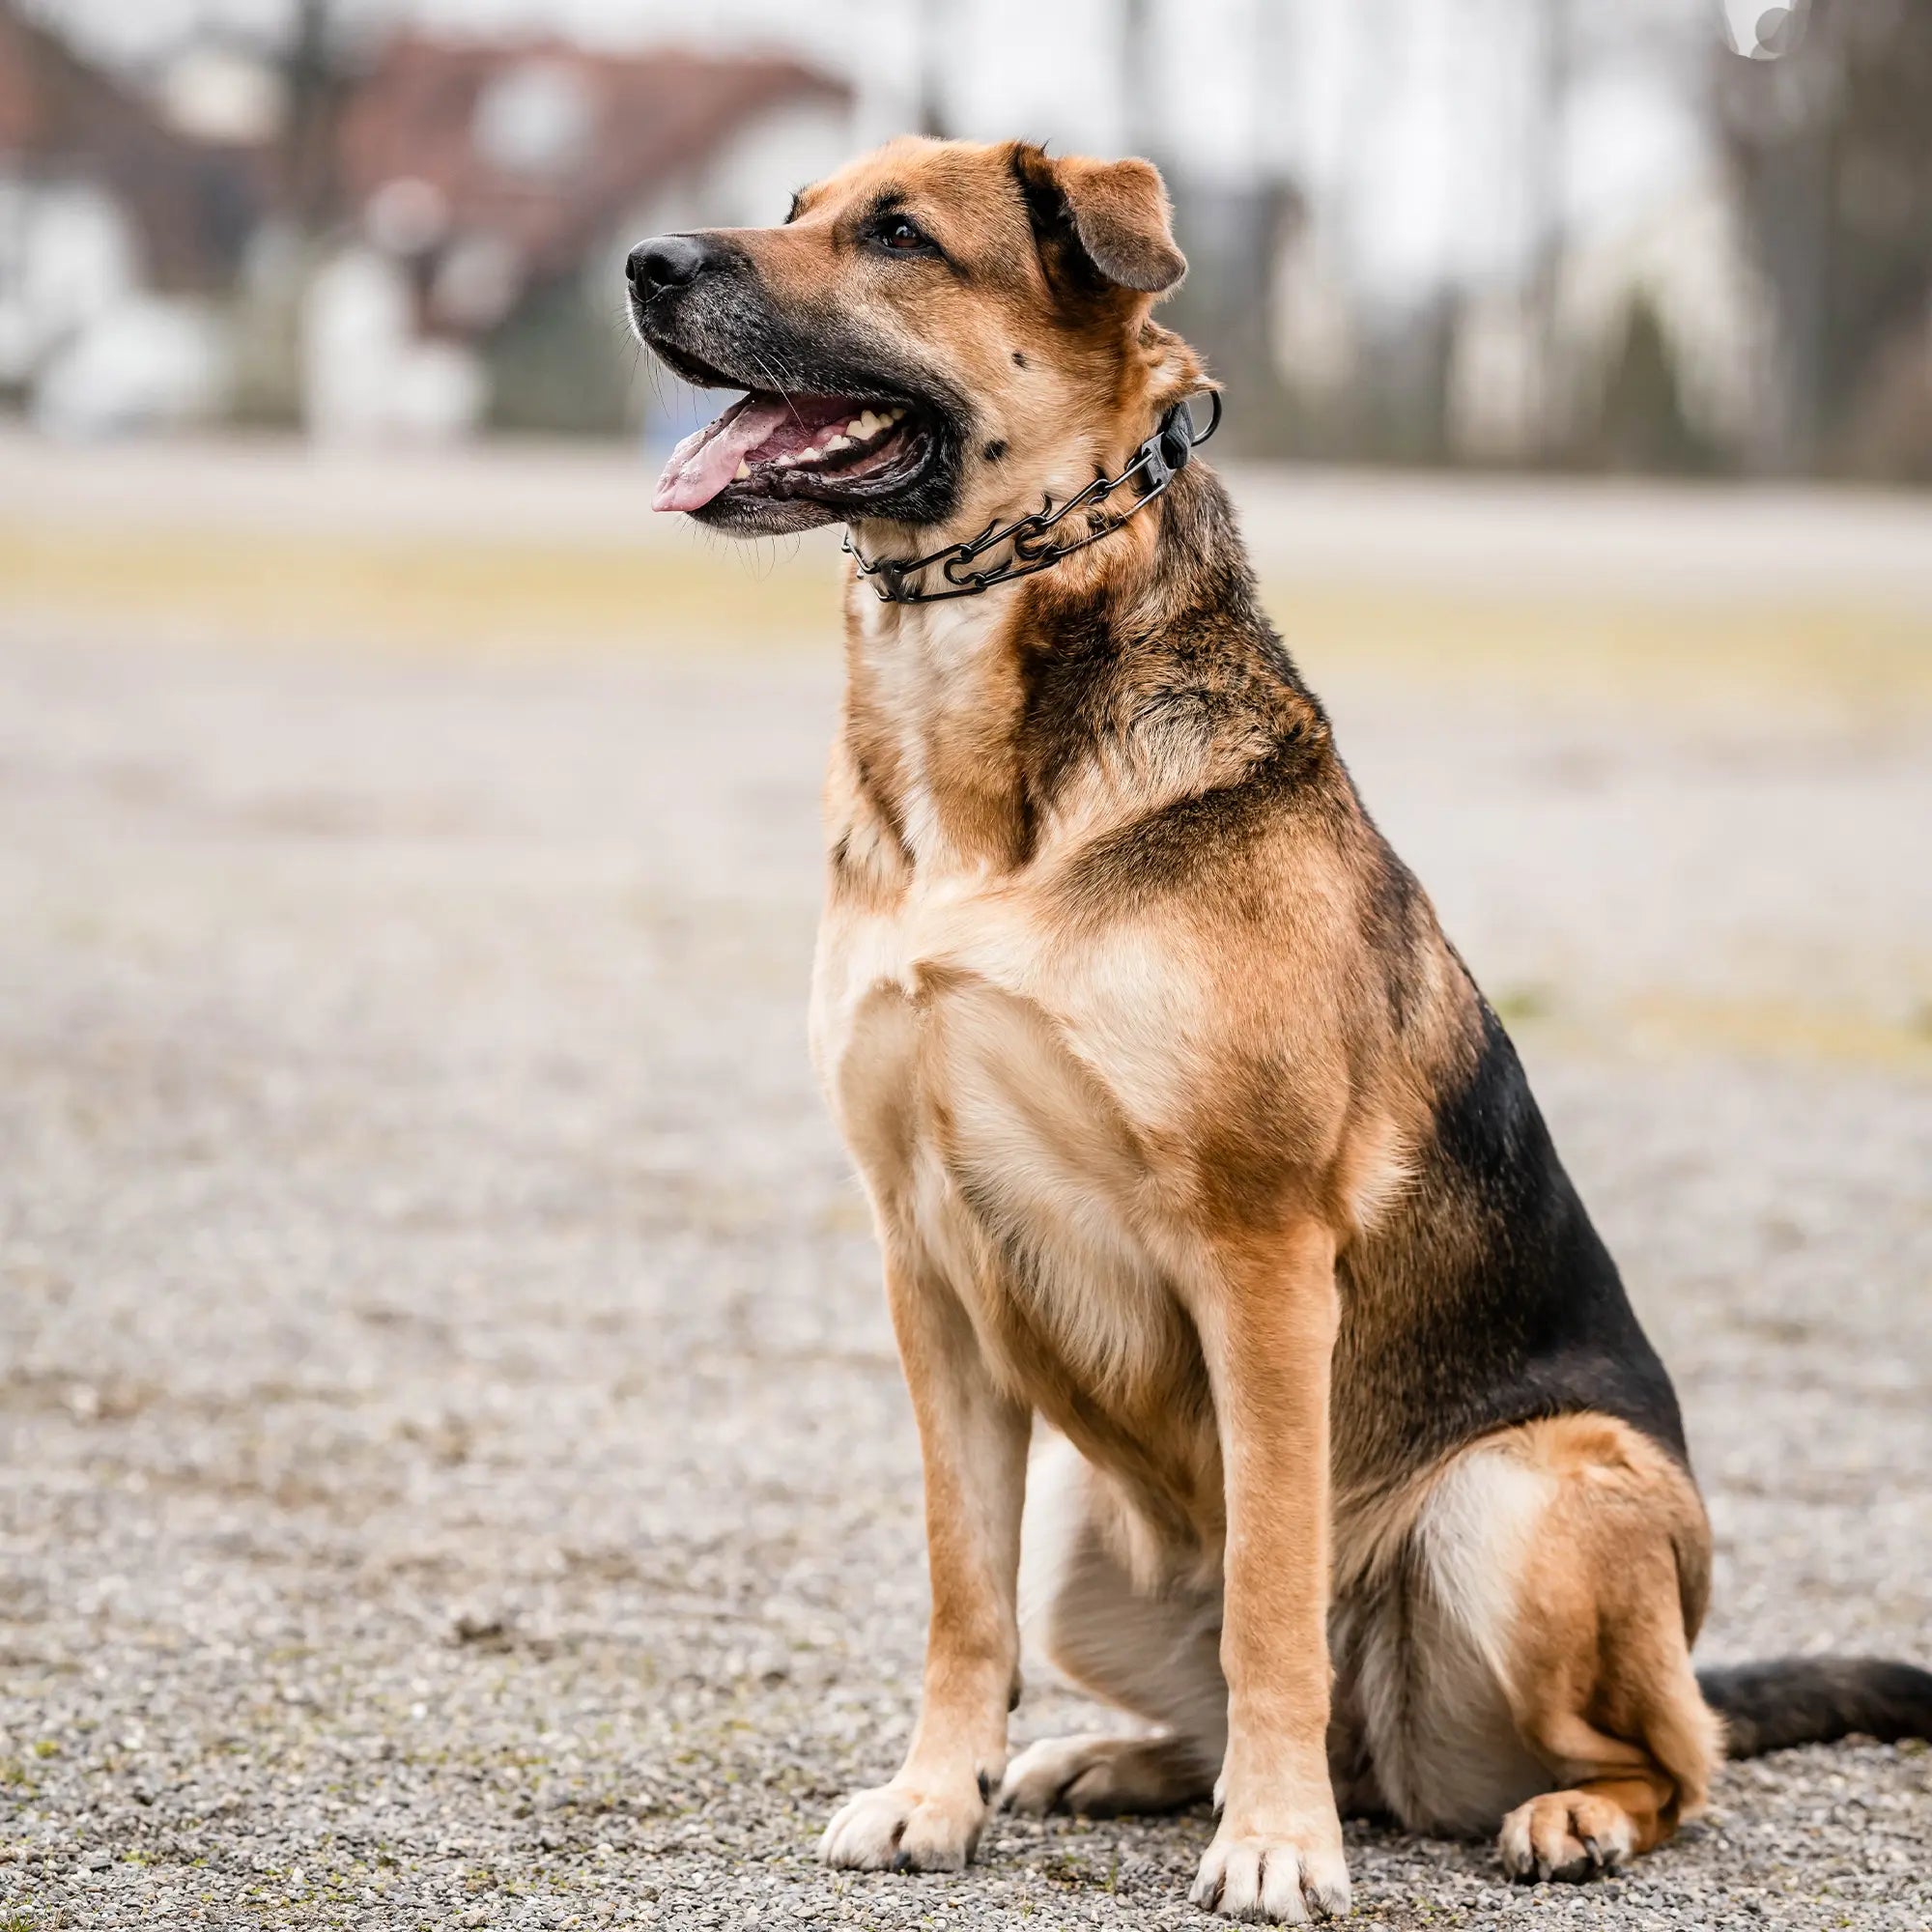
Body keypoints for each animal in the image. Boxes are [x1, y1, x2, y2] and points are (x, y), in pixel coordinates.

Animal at [626, 136, 1924, 1917]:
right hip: (1082, 1536)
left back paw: (1552, 1813)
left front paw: (1274, 1845)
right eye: (796, 205)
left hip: (1521, 1498)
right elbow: (959, 1591)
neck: (988, 774)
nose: (646, 265)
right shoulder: (927, 1266)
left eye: (898, 235)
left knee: (1669, 1759)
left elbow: (1269, 1603)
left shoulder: (1258, 1258)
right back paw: (1109, 1760)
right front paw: (937, 1795)